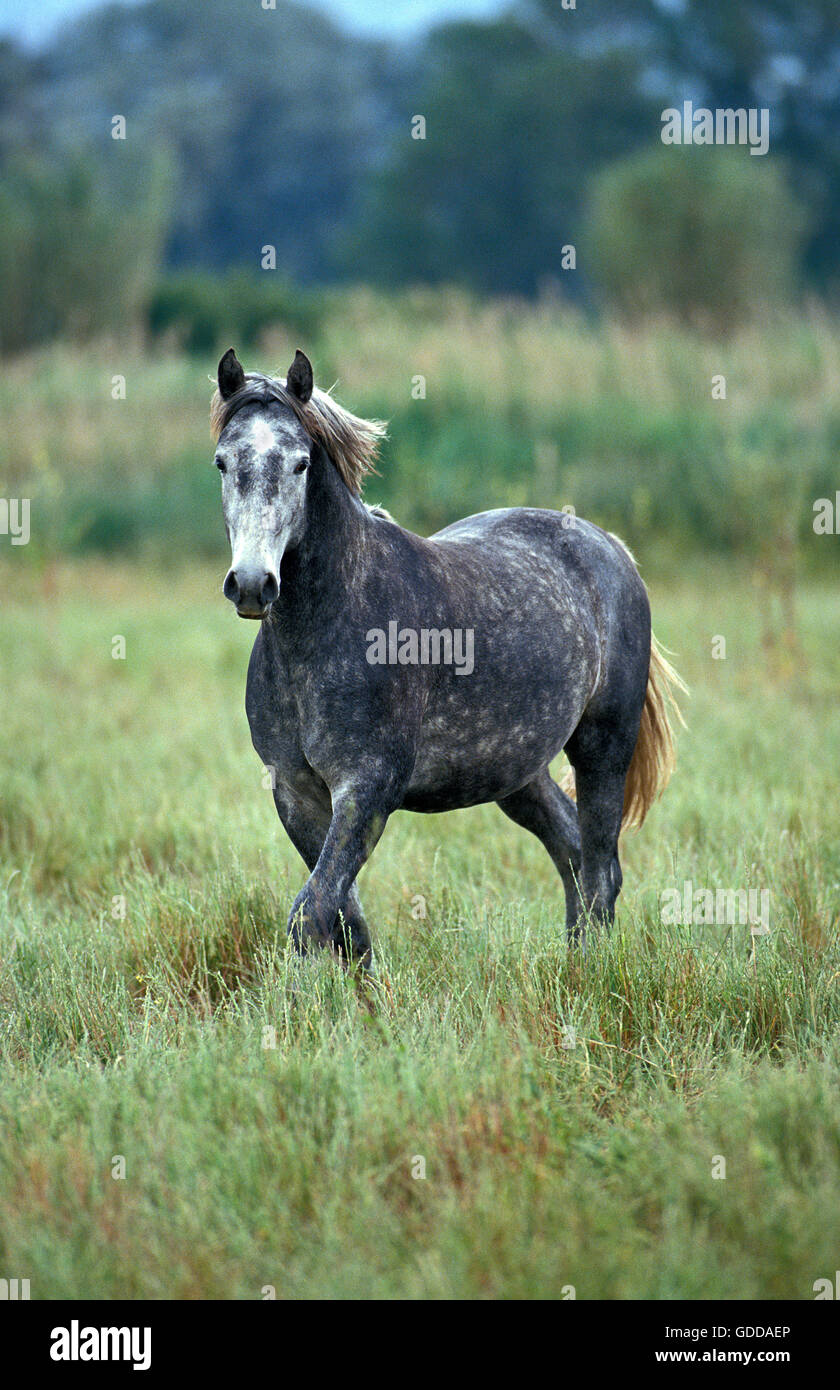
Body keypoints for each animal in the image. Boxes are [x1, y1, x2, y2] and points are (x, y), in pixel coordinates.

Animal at [208, 350, 681, 967]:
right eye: (222, 462)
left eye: (300, 464)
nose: (251, 584)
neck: (323, 632)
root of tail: (611, 548)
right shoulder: (295, 793)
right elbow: (345, 921)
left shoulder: (367, 788)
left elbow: (311, 915)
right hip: (518, 773)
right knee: (574, 854)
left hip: (603, 747)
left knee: (602, 870)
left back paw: (591, 972)